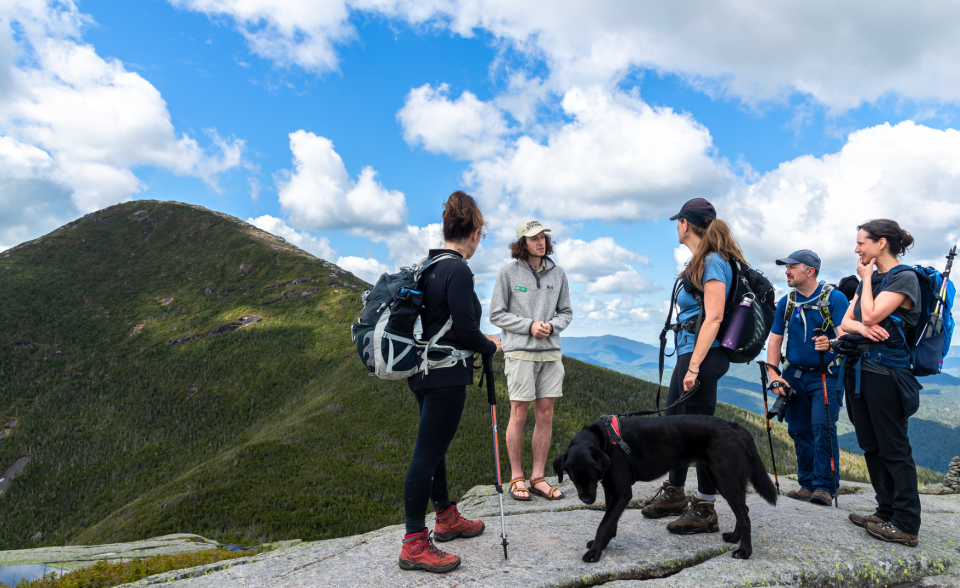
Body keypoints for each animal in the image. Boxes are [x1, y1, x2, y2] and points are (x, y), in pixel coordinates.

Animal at [556, 414, 780, 560]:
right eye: (574, 479)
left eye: (592, 476)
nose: (587, 500)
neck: (604, 440)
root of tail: (734, 426)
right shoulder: (611, 491)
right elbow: (610, 522)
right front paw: (603, 545)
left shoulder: (622, 493)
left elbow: (603, 525)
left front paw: (595, 552)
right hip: (715, 476)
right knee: (744, 510)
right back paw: (734, 538)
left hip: (725, 478)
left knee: (744, 515)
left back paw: (745, 551)